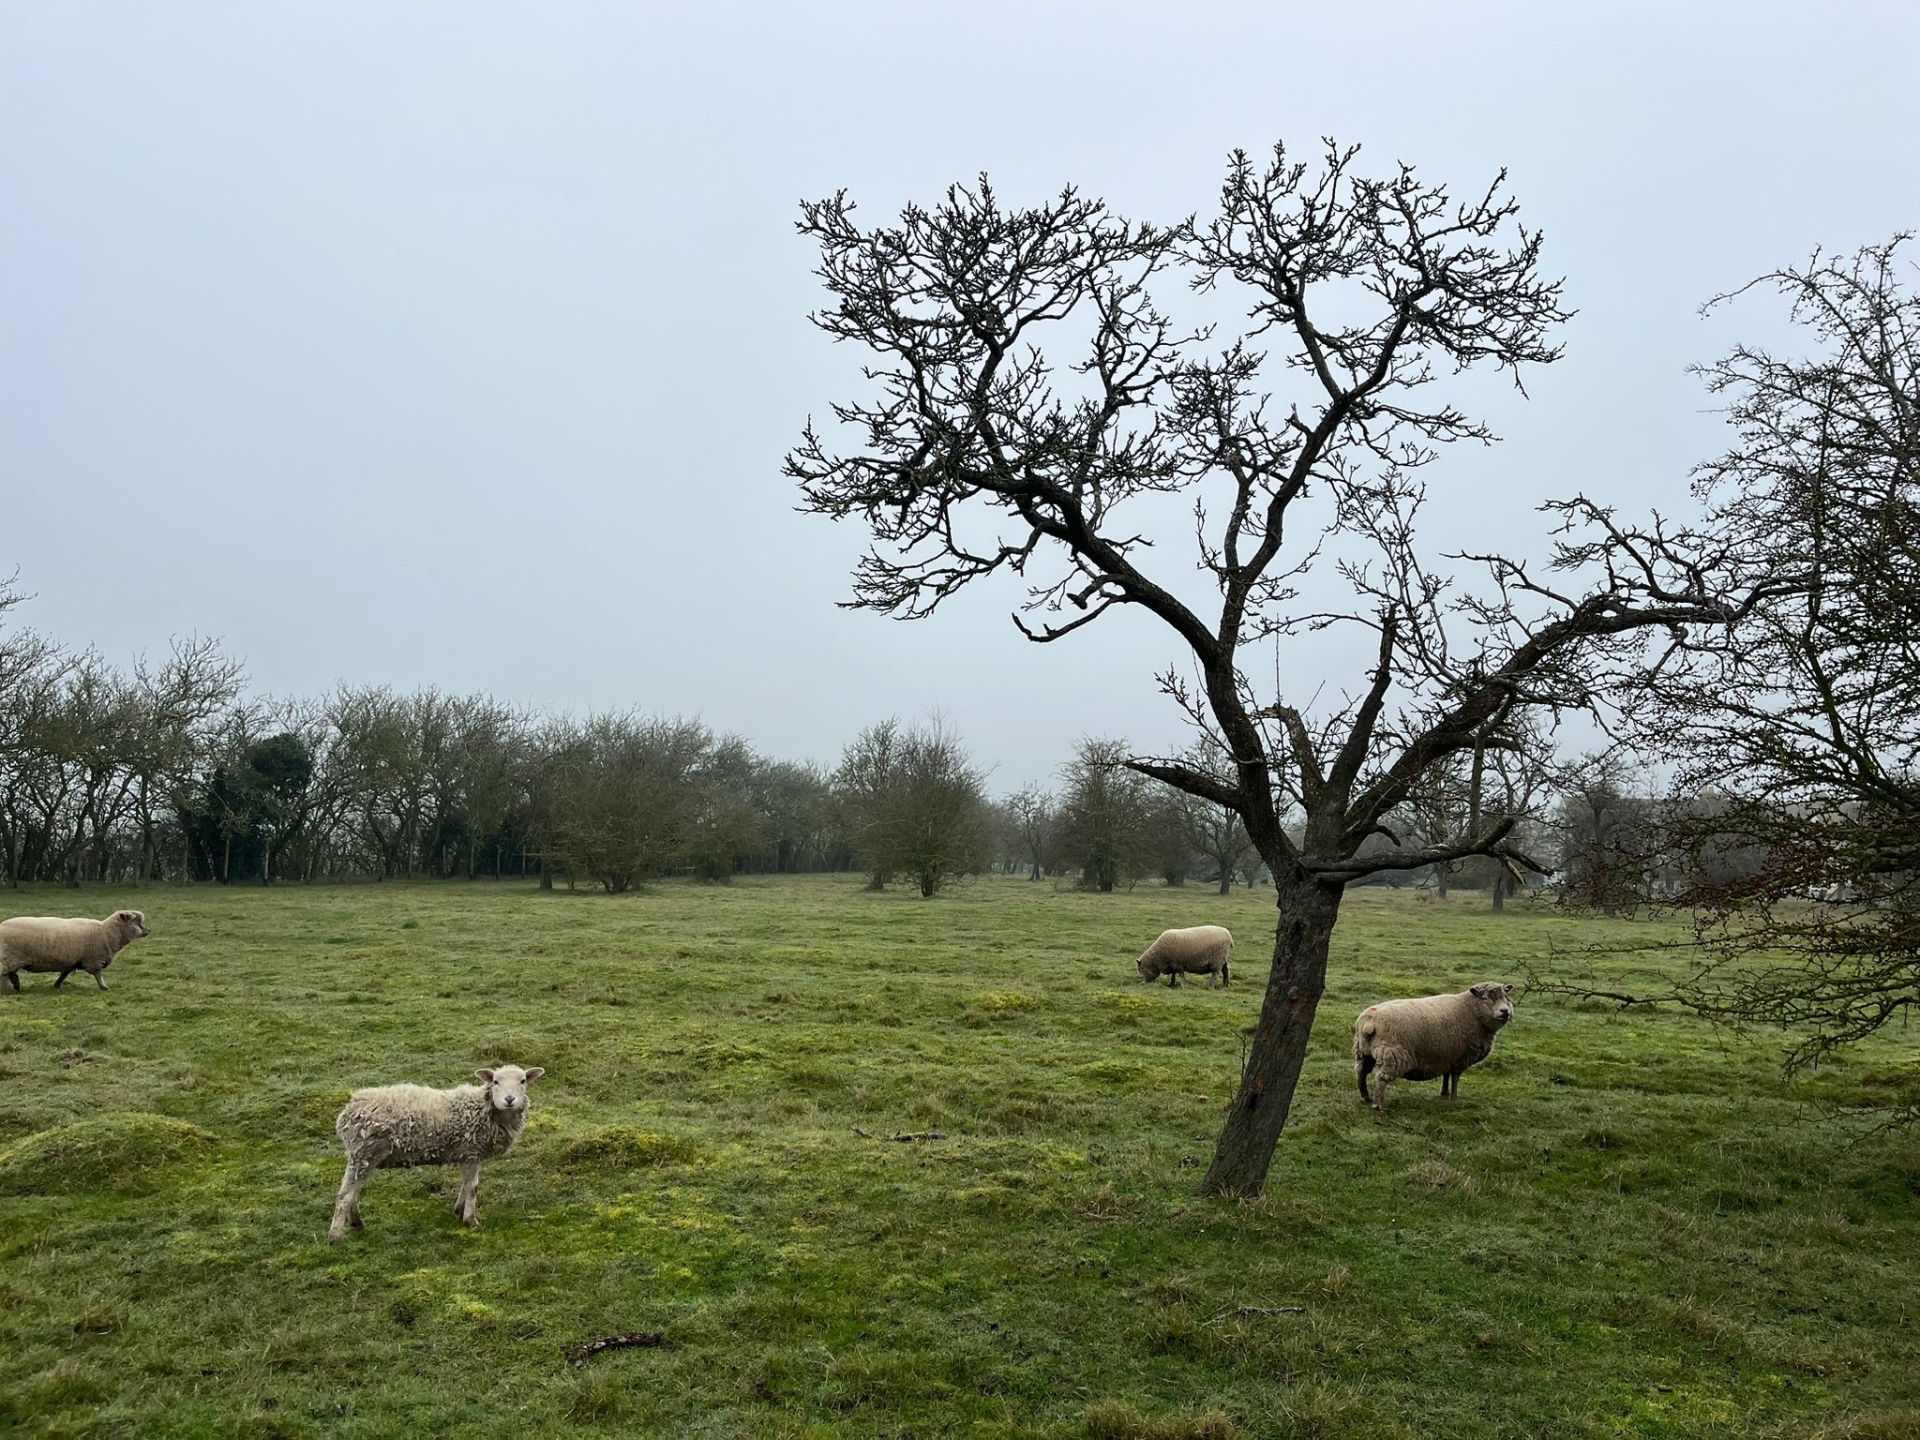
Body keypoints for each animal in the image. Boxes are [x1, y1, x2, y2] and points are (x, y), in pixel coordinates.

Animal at [1, 910, 150, 992]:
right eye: (136, 922)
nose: (148, 931)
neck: (105, 933)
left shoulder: (72, 960)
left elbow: (64, 974)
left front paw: (57, 985)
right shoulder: (93, 960)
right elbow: (98, 974)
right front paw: (104, 987)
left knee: (11, 974)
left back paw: (16, 986)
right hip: (10, 957)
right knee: (5, 974)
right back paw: (8, 989)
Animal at [329, 1064, 545, 1242]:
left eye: (523, 1081)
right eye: (495, 1081)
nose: (509, 1099)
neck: (483, 1109)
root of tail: (348, 1110)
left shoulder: (466, 1154)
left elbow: (465, 1184)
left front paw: (458, 1210)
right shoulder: (471, 1151)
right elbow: (472, 1187)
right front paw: (470, 1220)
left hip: (363, 1156)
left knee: (353, 1190)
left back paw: (356, 1222)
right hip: (365, 1151)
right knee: (345, 1194)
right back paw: (335, 1236)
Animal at [1354, 982, 1514, 1112]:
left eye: (1506, 997)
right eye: (1485, 998)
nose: (1505, 1011)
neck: (1472, 1011)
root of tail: (1368, 1022)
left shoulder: (1447, 1056)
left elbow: (1446, 1075)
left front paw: (1444, 1094)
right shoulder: (1461, 1057)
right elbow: (1455, 1078)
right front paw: (1454, 1098)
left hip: (1363, 1052)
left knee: (1361, 1073)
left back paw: (1366, 1098)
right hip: (1392, 1054)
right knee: (1381, 1079)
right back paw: (1377, 1106)